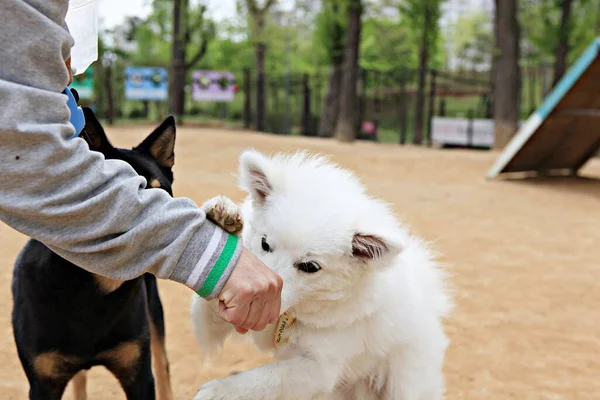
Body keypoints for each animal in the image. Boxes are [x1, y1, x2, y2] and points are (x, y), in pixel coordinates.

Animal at [191, 151, 450, 400]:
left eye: (309, 266)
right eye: (265, 244)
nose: (260, 295)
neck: (293, 312)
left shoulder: (319, 368)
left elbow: (267, 378)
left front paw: (217, 391)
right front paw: (224, 215)